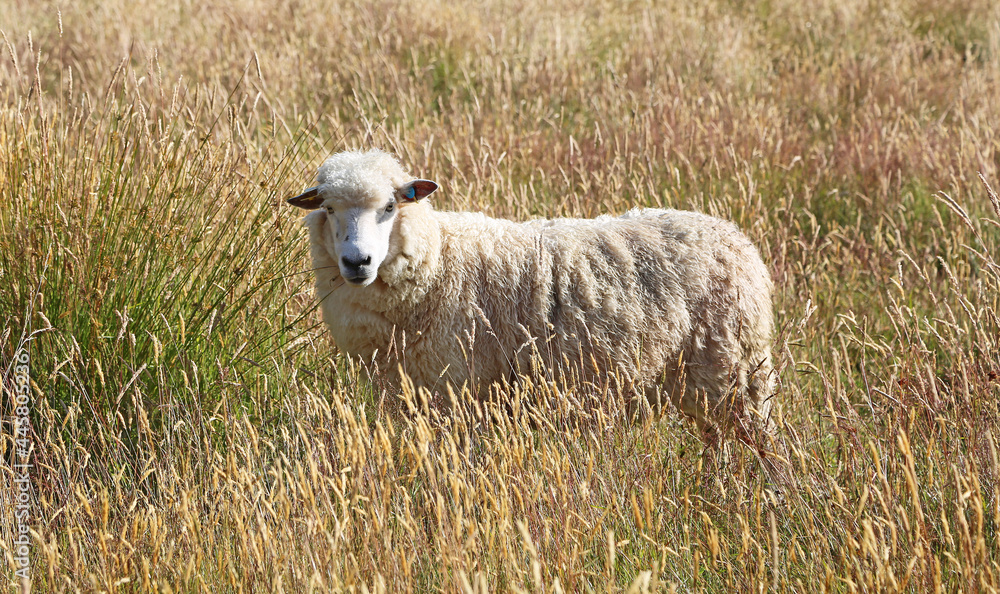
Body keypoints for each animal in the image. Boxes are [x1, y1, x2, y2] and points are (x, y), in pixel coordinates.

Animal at [288, 149, 776, 445]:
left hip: (735, 369)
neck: (439, 260)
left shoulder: (459, 389)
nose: (357, 262)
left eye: (390, 207)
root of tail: (732, 235)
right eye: (328, 209)